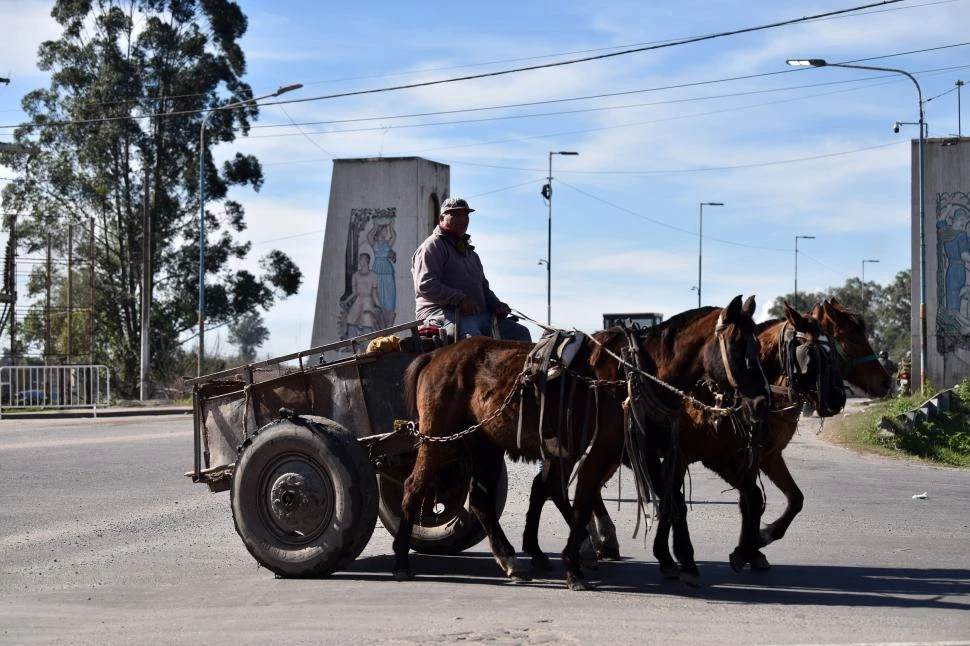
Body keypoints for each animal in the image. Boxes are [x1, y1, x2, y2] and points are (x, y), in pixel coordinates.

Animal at [390, 296, 768, 588]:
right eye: (739, 346)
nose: (762, 403)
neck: (638, 373)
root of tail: (436, 356)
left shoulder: (647, 452)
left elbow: (671, 502)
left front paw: (679, 562)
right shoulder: (601, 452)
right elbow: (585, 502)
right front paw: (574, 567)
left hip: (484, 444)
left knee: (486, 500)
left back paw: (513, 559)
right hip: (439, 440)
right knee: (413, 488)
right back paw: (401, 561)